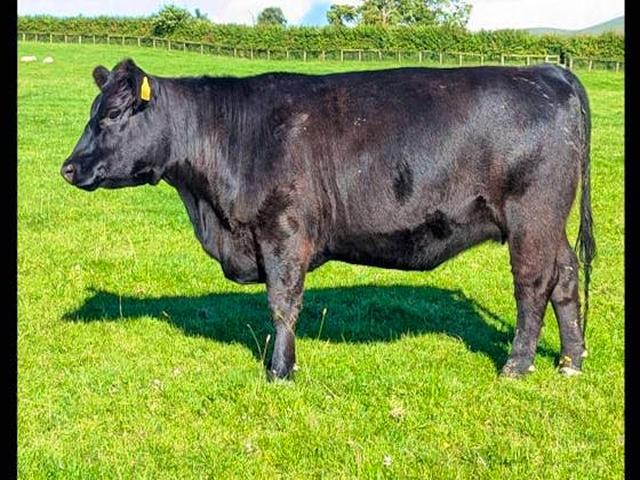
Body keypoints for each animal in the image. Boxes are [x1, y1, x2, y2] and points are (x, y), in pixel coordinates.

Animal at [61, 58, 595, 381]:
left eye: (112, 113)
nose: (67, 167)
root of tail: (548, 71)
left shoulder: (283, 232)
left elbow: (282, 303)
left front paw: (280, 370)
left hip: (531, 216)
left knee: (533, 285)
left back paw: (517, 365)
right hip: (553, 223)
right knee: (567, 278)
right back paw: (571, 360)